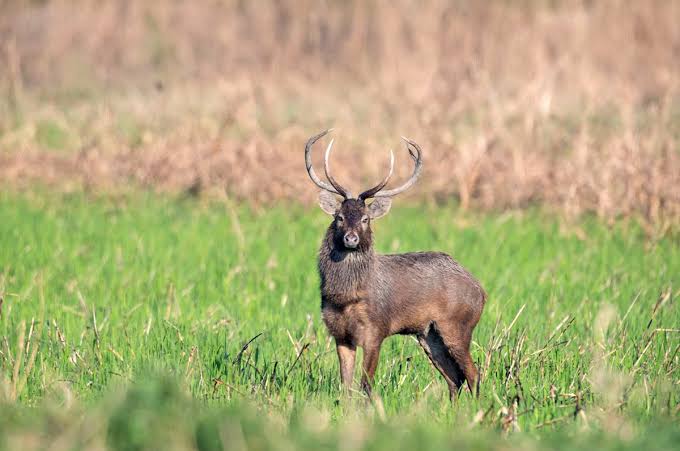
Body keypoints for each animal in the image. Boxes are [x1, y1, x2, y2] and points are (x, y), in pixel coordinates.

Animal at [304, 130, 486, 401]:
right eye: (339, 217)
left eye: (366, 219)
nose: (351, 238)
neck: (344, 296)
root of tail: (482, 291)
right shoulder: (340, 334)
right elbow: (345, 387)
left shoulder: (376, 329)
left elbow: (366, 385)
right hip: (428, 334)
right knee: (454, 378)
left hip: (458, 325)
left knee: (473, 374)